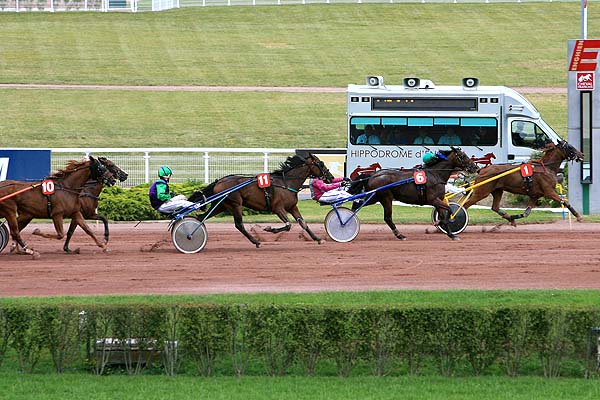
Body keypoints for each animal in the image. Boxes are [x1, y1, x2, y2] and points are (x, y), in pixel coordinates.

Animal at [189, 152, 332, 247]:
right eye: (321, 163)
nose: (330, 177)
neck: (286, 183)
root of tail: (219, 181)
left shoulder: (292, 207)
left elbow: (303, 223)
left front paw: (318, 238)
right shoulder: (278, 208)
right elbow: (288, 225)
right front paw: (270, 229)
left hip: (222, 205)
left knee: (201, 217)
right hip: (235, 204)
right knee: (239, 224)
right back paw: (256, 241)